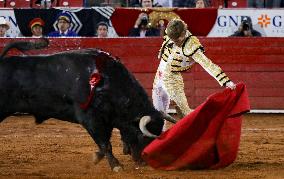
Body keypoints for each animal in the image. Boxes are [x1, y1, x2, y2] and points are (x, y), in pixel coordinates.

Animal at [0, 39, 175, 171]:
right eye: (143, 136)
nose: (144, 162)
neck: (107, 82)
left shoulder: (107, 119)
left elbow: (105, 143)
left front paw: (97, 157)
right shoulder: (90, 119)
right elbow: (105, 144)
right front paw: (116, 166)